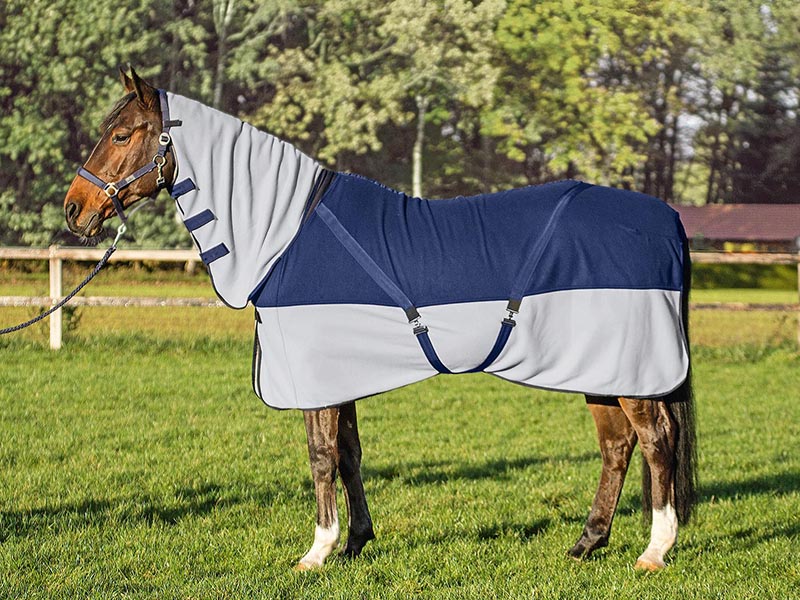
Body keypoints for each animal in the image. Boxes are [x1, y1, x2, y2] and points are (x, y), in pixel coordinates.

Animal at [63, 69, 696, 571]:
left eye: (122, 134)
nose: (75, 209)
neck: (288, 236)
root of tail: (666, 218)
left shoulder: (314, 374)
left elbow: (321, 457)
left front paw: (317, 551)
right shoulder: (339, 375)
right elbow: (348, 455)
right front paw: (354, 544)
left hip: (631, 370)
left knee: (656, 441)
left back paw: (654, 550)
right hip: (600, 371)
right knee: (617, 447)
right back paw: (587, 543)